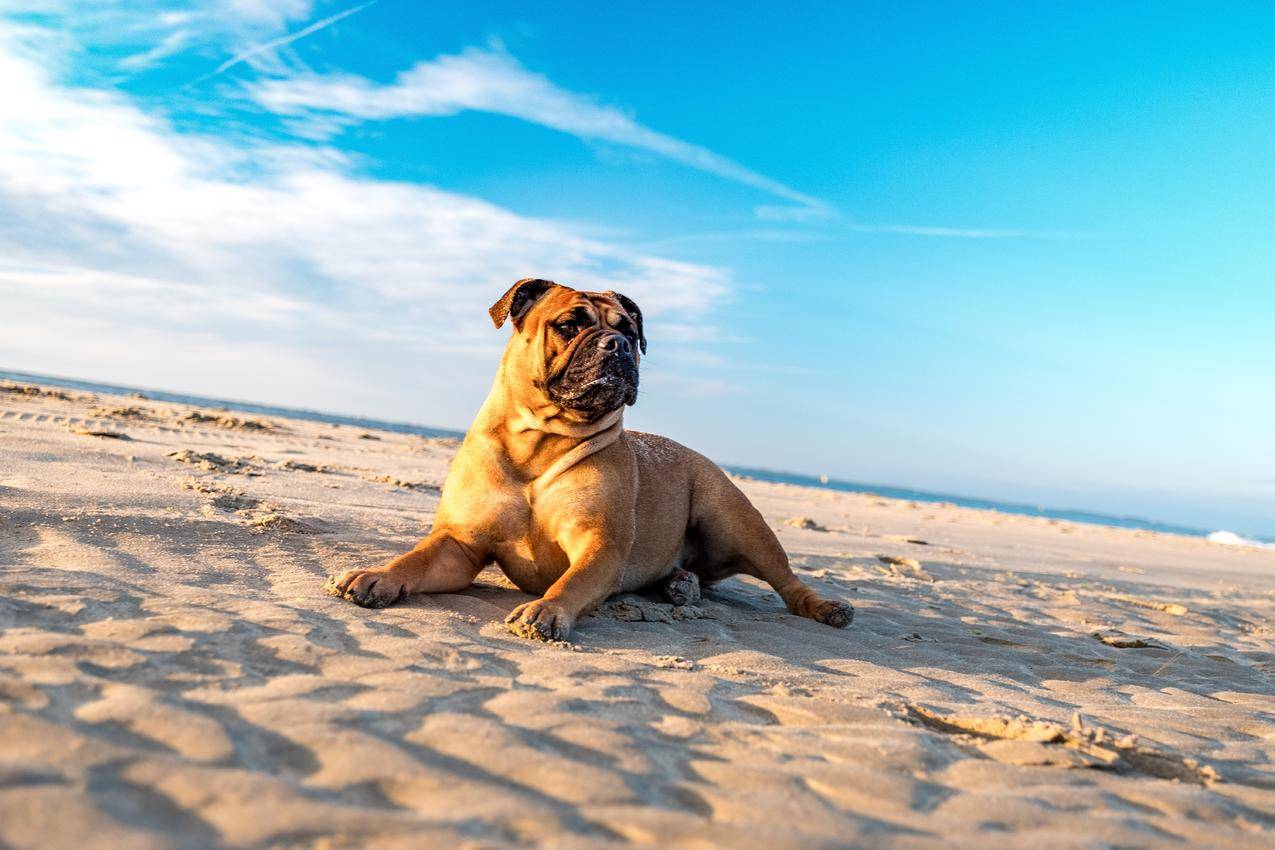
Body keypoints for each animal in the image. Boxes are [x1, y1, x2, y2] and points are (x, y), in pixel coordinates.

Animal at [326, 277, 856, 637]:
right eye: (570, 325)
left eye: (631, 332)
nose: (618, 344)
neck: (539, 444)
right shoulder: (460, 544)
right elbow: (414, 560)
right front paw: (379, 576)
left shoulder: (598, 546)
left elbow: (572, 582)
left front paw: (547, 609)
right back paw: (679, 585)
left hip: (736, 521)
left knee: (787, 582)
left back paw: (823, 607)